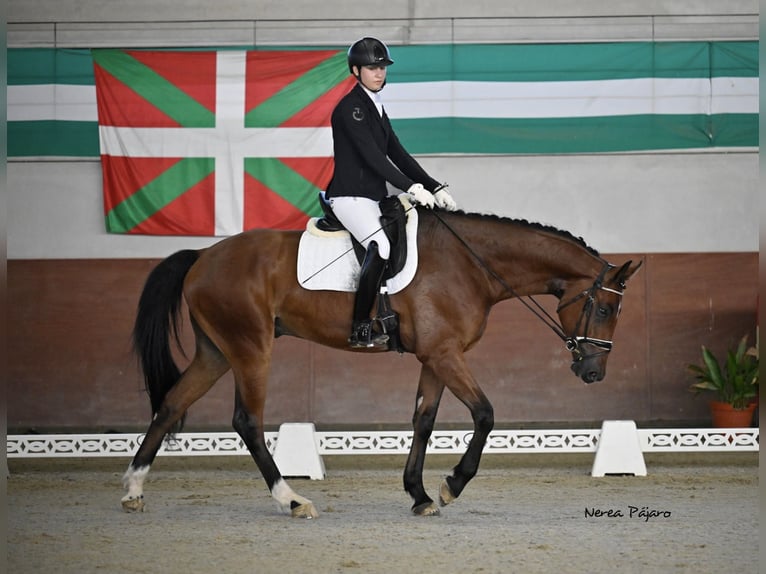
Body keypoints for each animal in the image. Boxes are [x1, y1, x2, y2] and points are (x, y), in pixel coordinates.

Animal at [123, 209, 644, 520]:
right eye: (604, 308)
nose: (593, 372)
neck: (470, 265)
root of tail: (202, 256)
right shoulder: (446, 355)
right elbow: (485, 414)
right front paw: (452, 485)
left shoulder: (437, 356)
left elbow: (424, 420)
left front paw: (419, 494)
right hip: (251, 349)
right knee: (246, 421)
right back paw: (292, 500)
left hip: (216, 351)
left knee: (170, 405)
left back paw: (133, 489)